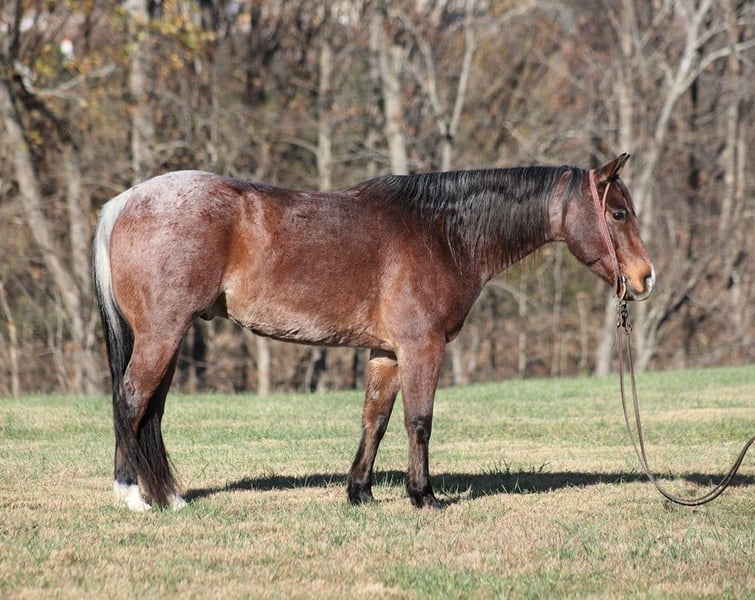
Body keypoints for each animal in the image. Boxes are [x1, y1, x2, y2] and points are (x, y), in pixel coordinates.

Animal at [92, 153, 655, 511]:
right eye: (618, 212)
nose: (646, 278)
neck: (441, 233)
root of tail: (124, 202)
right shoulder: (421, 348)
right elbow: (419, 421)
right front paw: (423, 496)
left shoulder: (385, 352)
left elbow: (375, 421)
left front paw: (360, 492)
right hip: (162, 335)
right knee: (132, 398)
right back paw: (132, 496)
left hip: (167, 338)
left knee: (149, 409)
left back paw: (168, 496)